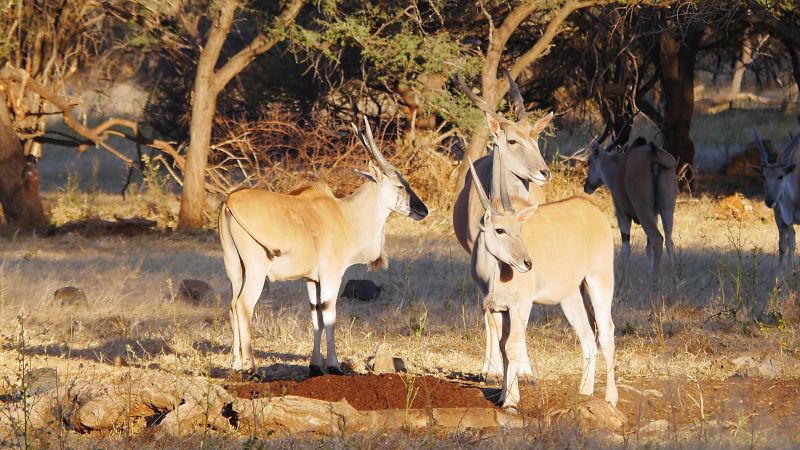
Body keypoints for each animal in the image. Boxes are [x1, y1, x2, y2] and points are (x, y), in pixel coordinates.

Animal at [219, 118, 428, 376]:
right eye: (400, 185)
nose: (423, 210)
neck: (344, 215)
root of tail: (230, 201)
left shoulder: (312, 280)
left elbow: (315, 315)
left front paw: (315, 366)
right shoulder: (331, 275)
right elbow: (329, 315)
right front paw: (334, 365)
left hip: (235, 269)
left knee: (232, 306)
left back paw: (236, 364)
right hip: (256, 271)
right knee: (243, 305)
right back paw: (251, 367)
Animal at [454, 69, 552, 380]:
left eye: (536, 136)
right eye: (512, 141)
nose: (544, 172)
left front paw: (524, 369)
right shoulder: (482, 257)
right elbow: (489, 314)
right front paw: (492, 370)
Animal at [468, 157, 620, 412]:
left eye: (519, 229)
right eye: (500, 229)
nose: (527, 263)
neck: (494, 275)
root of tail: (593, 211)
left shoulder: (521, 306)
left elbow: (512, 345)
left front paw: (511, 400)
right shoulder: (498, 308)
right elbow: (502, 346)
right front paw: (502, 396)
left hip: (599, 281)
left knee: (607, 330)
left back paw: (611, 397)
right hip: (571, 297)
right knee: (588, 336)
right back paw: (585, 393)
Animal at [580, 135, 676, 276]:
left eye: (590, 160)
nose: (586, 186)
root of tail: (652, 152)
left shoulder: (622, 215)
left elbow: (626, 249)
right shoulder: (655, 215)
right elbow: (648, 248)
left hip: (643, 212)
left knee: (658, 239)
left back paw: (655, 278)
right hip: (667, 210)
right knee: (669, 241)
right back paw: (672, 277)